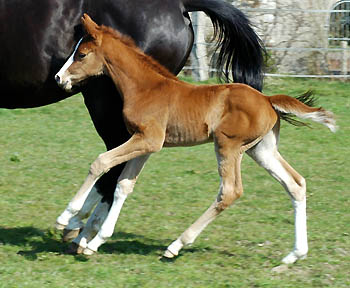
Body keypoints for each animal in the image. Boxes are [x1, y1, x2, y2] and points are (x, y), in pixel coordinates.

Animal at [55, 15, 336, 264]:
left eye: (81, 55)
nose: (59, 78)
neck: (146, 88)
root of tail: (268, 100)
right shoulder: (146, 144)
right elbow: (124, 185)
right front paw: (96, 241)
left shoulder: (148, 139)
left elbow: (100, 162)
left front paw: (67, 217)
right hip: (261, 150)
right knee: (295, 184)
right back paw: (294, 255)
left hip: (228, 145)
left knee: (230, 191)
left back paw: (176, 245)